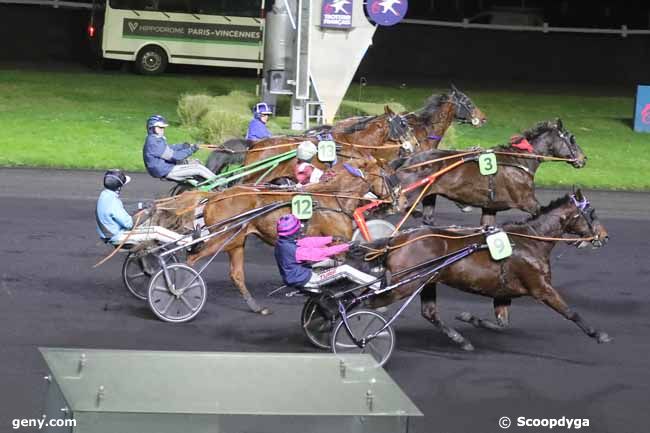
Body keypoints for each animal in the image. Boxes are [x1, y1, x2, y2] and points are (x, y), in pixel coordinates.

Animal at [182, 155, 402, 314]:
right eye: (389, 174)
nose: (397, 200)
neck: (333, 198)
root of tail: (214, 197)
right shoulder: (339, 243)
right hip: (226, 237)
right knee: (192, 258)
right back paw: (182, 289)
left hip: (237, 242)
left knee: (236, 275)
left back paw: (257, 307)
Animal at [362, 190, 612, 352]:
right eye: (591, 212)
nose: (605, 236)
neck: (531, 241)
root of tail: (397, 239)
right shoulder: (541, 287)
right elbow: (570, 312)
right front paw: (598, 334)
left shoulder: (504, 292)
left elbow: (501, 324)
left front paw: (468, 318)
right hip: (405, 285)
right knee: (368, 302)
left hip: (426, 281)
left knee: (429, 312)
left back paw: (461, 340)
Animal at [390, 119, 588, 226]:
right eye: (572, 139)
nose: (583, 159)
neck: (519, 160)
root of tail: (407, 161)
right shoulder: (528, 202)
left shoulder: (490, 207)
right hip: (411, 194)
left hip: (429, 195)